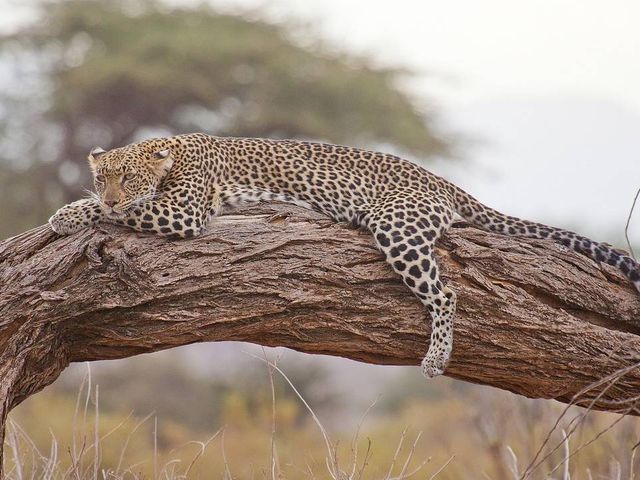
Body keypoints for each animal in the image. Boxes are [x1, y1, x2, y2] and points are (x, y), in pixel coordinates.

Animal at [48, 132, 640, 378]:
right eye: (103, 176)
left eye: (126, 179)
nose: (110, 194)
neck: (169, 155)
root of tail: (444, 183)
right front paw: (72, 209)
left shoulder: (184, 211)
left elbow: (125, 213)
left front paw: (70, 215)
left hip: (396, 226)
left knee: (445, 291)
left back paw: (436, 358)